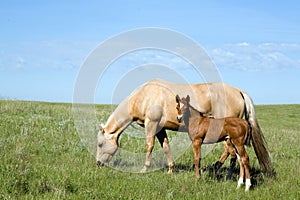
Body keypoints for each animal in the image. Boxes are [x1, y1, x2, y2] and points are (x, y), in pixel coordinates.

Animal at [96, 79, 272, 174]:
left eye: (100, 144)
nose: (98, 163)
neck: (144, 96)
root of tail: (238, 91)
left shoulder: (151, 124)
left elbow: (149, 145)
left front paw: (144, 169)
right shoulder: (160, 129)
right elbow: (166, 147)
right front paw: (170, 169)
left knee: (232, 153)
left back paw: (221, 171)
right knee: (232, 153)